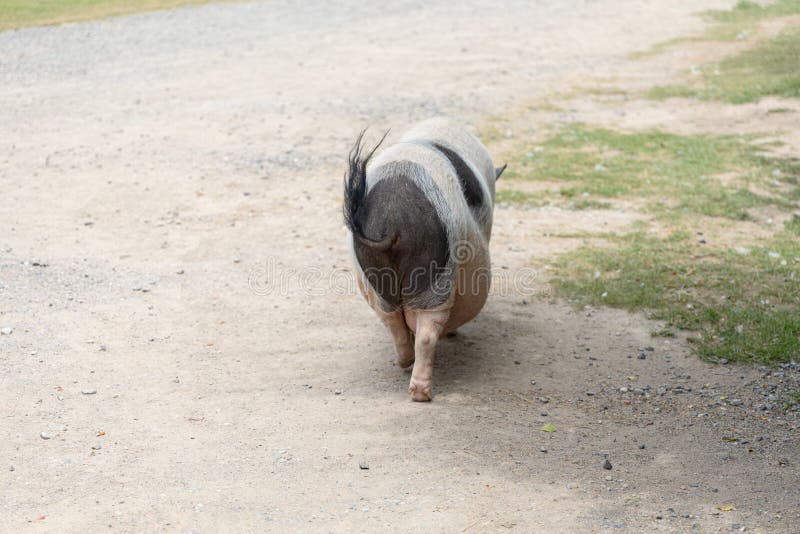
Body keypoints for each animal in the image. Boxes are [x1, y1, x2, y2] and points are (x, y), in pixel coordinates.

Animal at [340, 117, 504, 402]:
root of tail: (392, 222)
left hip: (377, 278)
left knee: (392, 320)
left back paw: (404, 363)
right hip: (436, 278)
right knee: (427, 332)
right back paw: (421, 394)